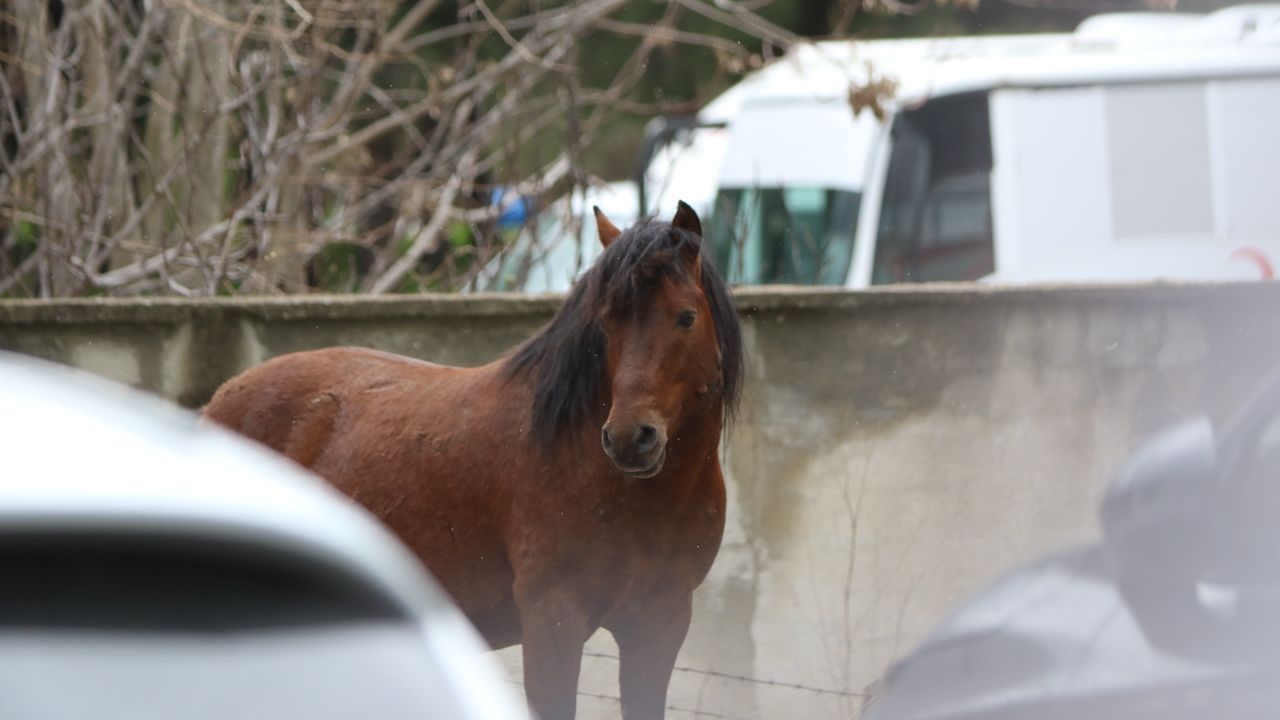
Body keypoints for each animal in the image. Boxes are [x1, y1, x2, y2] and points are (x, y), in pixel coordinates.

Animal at [203, 201, 743, 720]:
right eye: (607, 322)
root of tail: (219, 400)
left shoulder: (658, 624)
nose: (630, 439)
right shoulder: (553, 620)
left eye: (686, 316)